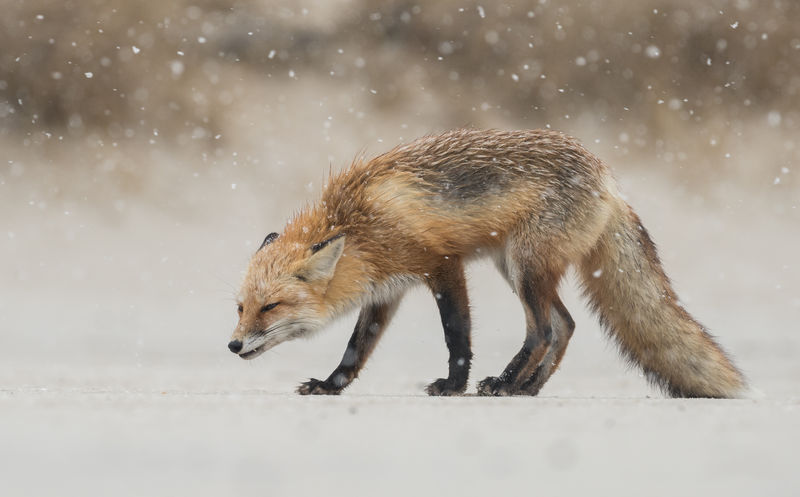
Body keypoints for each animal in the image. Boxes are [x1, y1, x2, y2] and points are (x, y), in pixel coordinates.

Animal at [228, 130, 748, 398]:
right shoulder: (387, 289)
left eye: (270, 307)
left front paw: (454, 384)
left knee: (545, 329)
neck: (359, 225)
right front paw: (331, 385)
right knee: (566, 325)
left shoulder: (442, 264)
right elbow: (357, 349)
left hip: (524, 267)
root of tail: (608, 180)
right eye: (240, 307)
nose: (233, 345)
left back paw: (504, 381)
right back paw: (526, 389)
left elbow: (456, 335)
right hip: (517, 269)